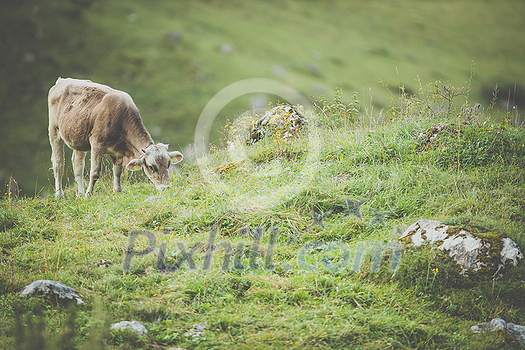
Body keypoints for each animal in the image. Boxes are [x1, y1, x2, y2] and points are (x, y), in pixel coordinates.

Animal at [47, 78, 182, 198]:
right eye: (151, 167)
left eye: (168, 164)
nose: (166, 187)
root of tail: (61, 80)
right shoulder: (97, 143)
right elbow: (95, 172)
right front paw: (89, 194)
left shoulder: (118, 151)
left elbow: (118, 171)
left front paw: (117, 191)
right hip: (54, 130)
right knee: (58, 164)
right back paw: (60, 195)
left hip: (78, 138)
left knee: (77, 165)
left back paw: (80, 194)